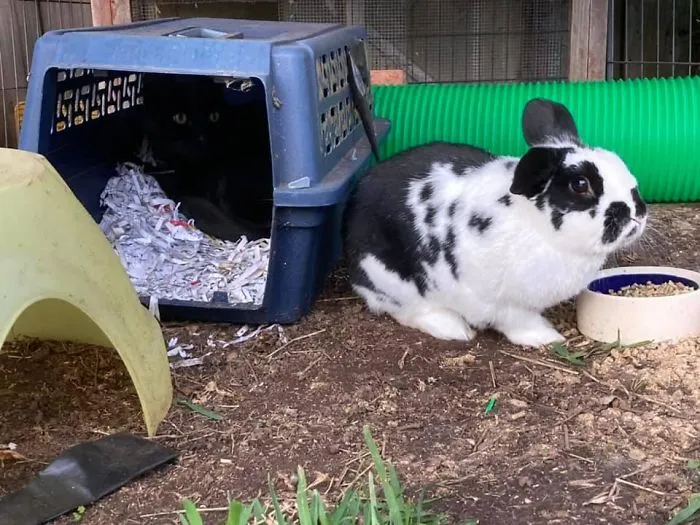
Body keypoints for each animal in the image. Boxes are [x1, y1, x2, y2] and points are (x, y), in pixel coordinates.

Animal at [343, 98, 648, 348]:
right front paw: (547, 338)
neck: (540, 229)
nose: (637, 211)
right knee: (408, 310)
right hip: (393, 281)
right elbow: (520, 323)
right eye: (580, 184)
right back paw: (454, 329)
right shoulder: (504, 303)